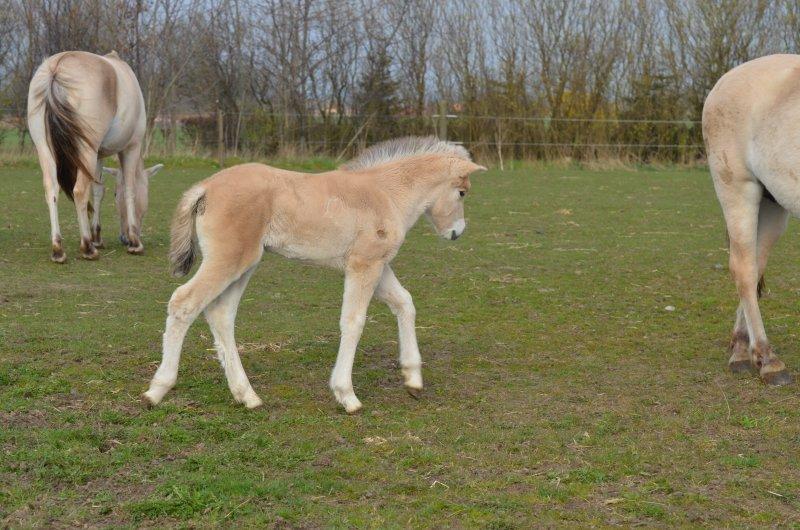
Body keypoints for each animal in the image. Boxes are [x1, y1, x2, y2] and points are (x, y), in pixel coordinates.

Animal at [26, 49, 162, 260]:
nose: (124, 238)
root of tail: (57, 68)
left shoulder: (98, 156)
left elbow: (98, 190)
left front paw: (97, 236)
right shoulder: (130, 148)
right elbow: (130, 188)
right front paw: (135, 242)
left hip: (45, 149)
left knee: (51, 189)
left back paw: (58, 249)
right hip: (86, 152)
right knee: (80, 192)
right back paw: (87, 247)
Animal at [144, 136, 488, 412]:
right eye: (462, 192)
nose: (456, 232)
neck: (386, 193)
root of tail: (205, 188)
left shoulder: (378, 265)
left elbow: (404, 303)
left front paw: (413, 378)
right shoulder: (364, 265)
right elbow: (354, 321)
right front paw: (346, 395)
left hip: (245, 265)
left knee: (220, 314)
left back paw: (247, 395)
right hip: (228, 260)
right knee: (184, 303)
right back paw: (157, 390)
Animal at [708, 53, 800, 384]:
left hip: (773, 205)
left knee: (755, 263)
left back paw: (740, 349)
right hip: (738, 189)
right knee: (744, 270)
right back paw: (767, 359)